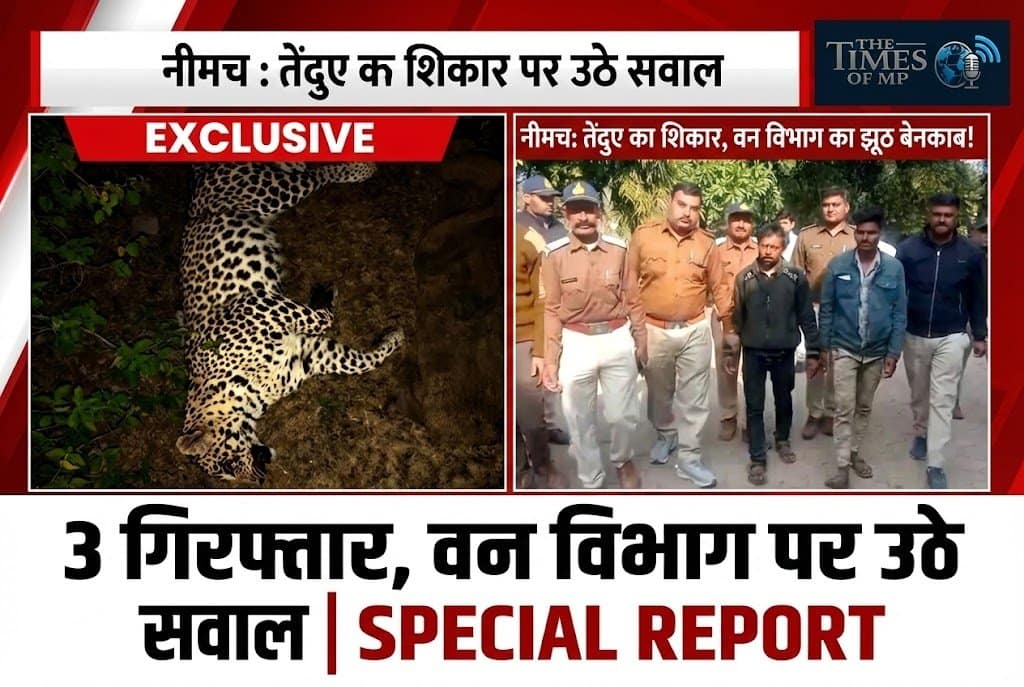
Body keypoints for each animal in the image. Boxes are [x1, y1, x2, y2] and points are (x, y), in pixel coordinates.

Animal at [175, 162, 403, 484]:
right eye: (227, 476)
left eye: (226, 466)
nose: (259, 481)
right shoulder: (310, 355)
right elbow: (358, 362)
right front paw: (393, 339)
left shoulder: (255, 304)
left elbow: (318, 316)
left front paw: (324, 294)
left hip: (266, 191)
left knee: (317, 175)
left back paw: (361, 168)